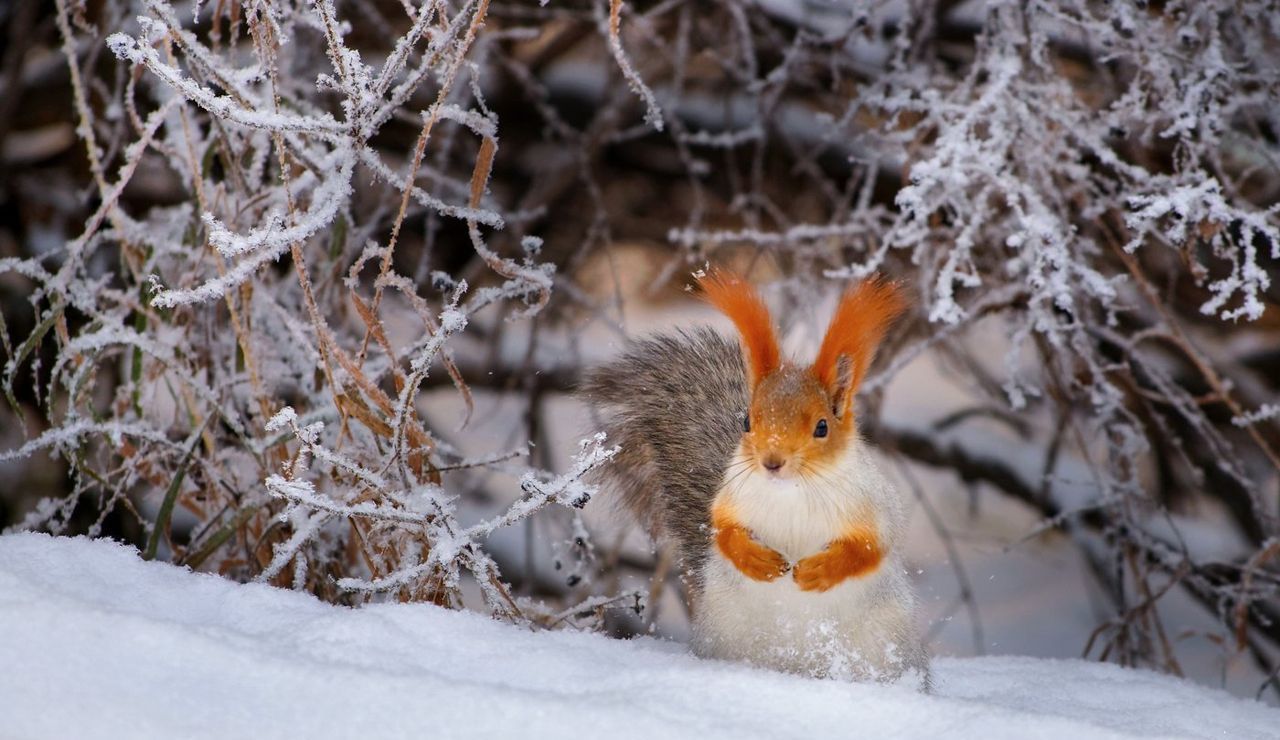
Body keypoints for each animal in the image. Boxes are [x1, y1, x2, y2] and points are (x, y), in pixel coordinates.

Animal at [581, 268, 931, 686]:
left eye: (822, 427)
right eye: (747, 421)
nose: (771, 461)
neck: (791, 491)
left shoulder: (872, 504)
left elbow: (867, 548)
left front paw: (818, 571)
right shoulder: (731, 497)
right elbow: (724, 531)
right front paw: (758, 561)